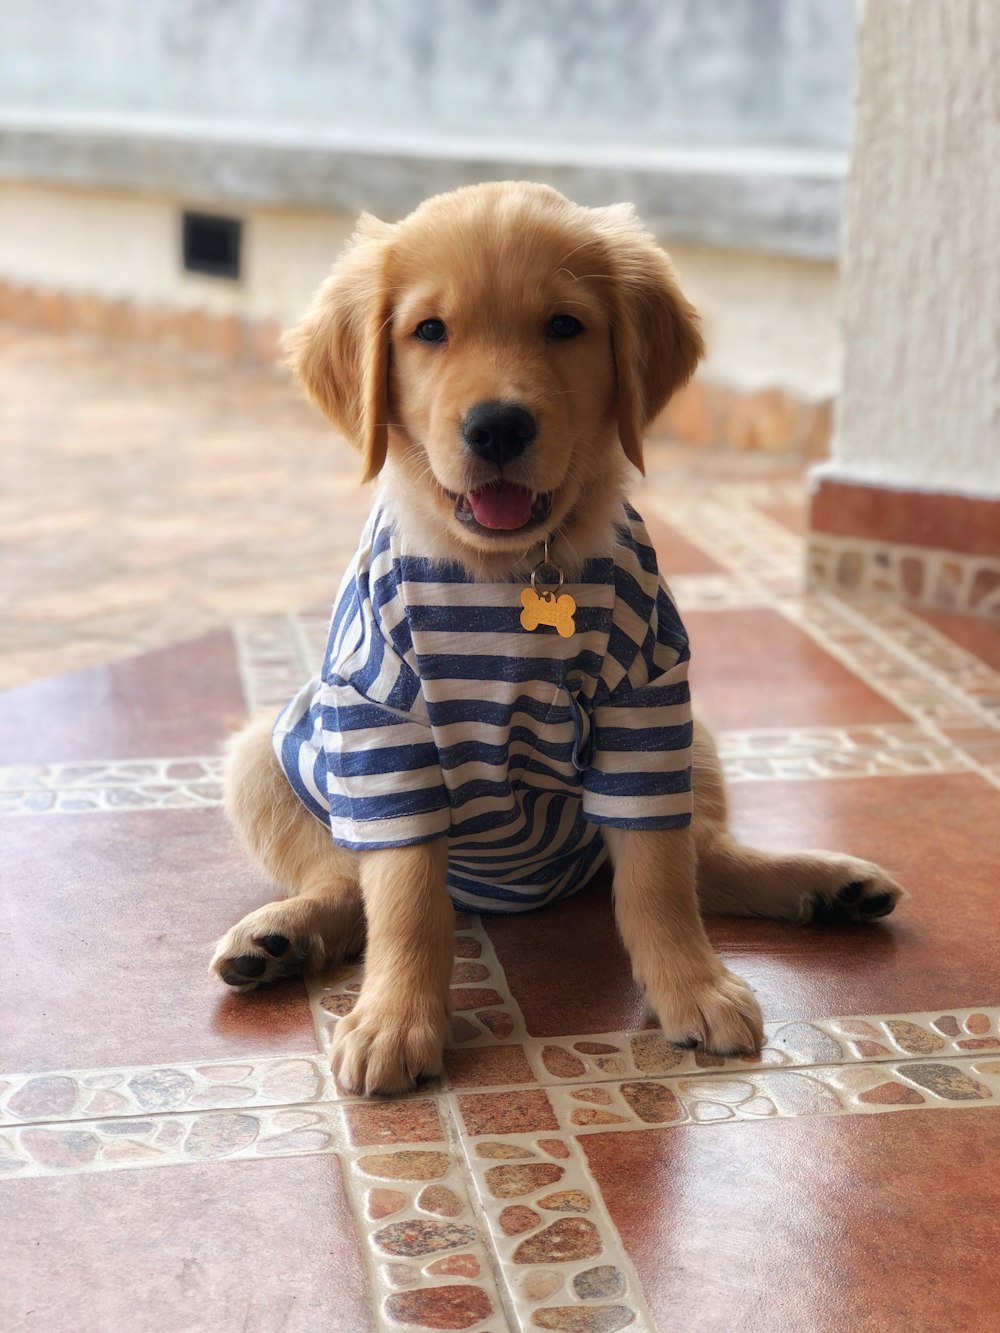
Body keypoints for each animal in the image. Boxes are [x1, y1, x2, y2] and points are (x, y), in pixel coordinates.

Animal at [213, 182, 906, 1098]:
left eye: (564, 326)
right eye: (429, 331)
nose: (499, 427)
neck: (512, 572)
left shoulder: (649, 701)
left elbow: (657, 879)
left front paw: (691, 984)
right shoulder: (378, 721)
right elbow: (402, 896)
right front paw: (397, 1017)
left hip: (700, 739)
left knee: (703, 857)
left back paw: (828, 885)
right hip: (265, 753)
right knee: (346, 879)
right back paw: (280, 936)